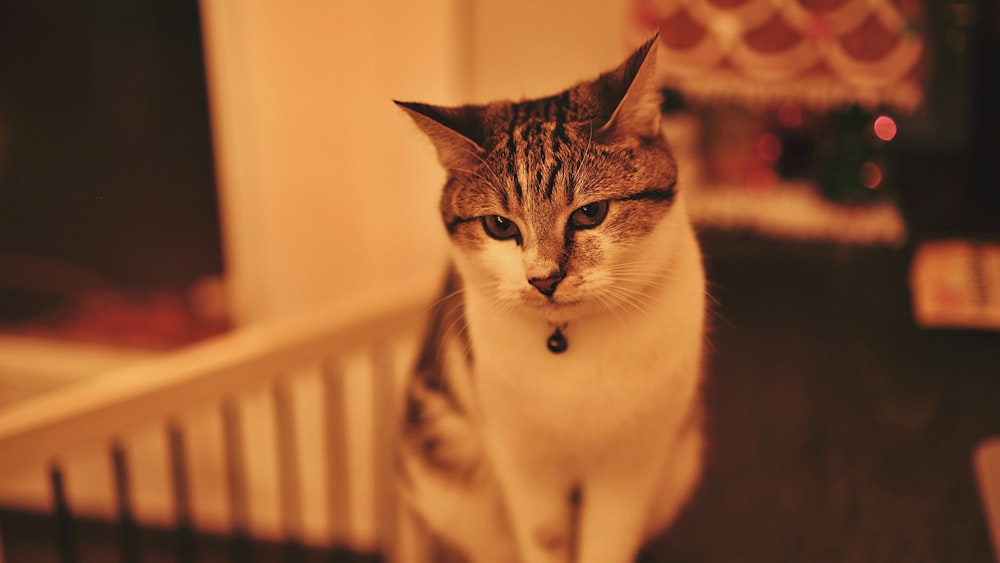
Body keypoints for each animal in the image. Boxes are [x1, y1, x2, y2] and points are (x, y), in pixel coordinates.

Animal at [394, 36, 708, 563]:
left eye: (590, 213)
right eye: (499, 225)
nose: (544, 280)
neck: (570, 350)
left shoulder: (631, 469)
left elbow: (607, 543)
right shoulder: (525, 468)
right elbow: (544, 540)